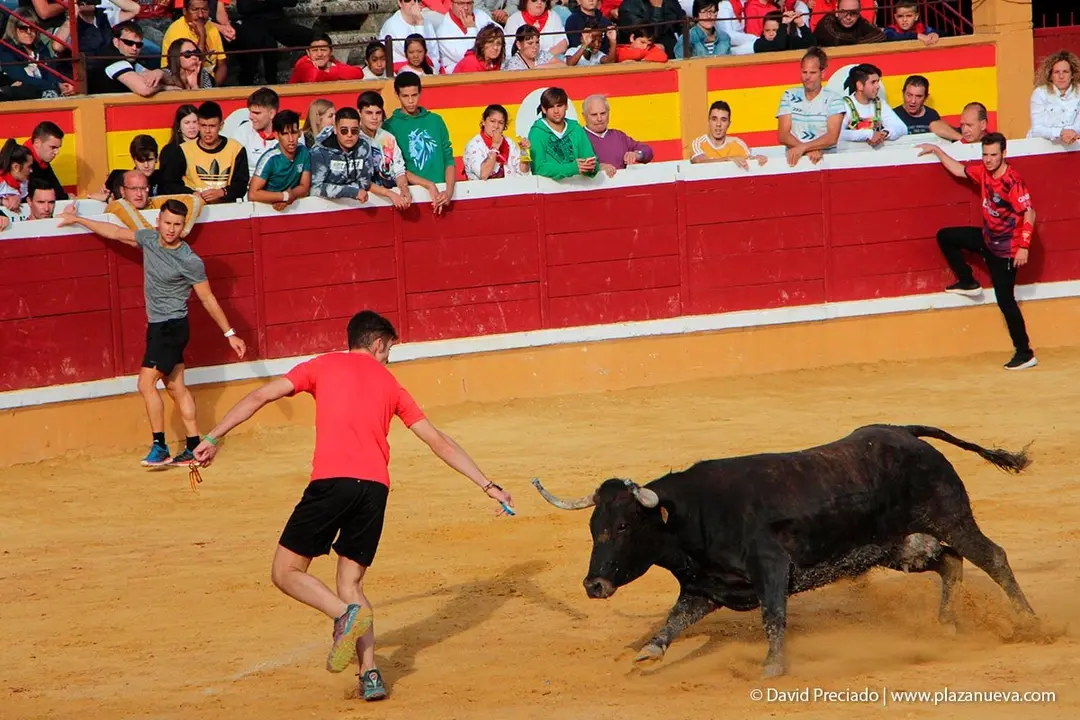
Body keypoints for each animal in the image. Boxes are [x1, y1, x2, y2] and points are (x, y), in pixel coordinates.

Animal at [532, 424, 1038, 677]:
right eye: (593, 528)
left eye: (622, 526)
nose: (594, 585)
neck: (690, 516)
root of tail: (903, 432)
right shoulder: (705, 587)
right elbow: (673, 621)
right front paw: (648, 653)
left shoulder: (770, 568)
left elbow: (773, 617)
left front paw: (773, 666)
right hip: (899, 546)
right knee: (949, 561)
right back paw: (947, 626)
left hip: (950, 515)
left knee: (991, 556)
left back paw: (1029, 623)